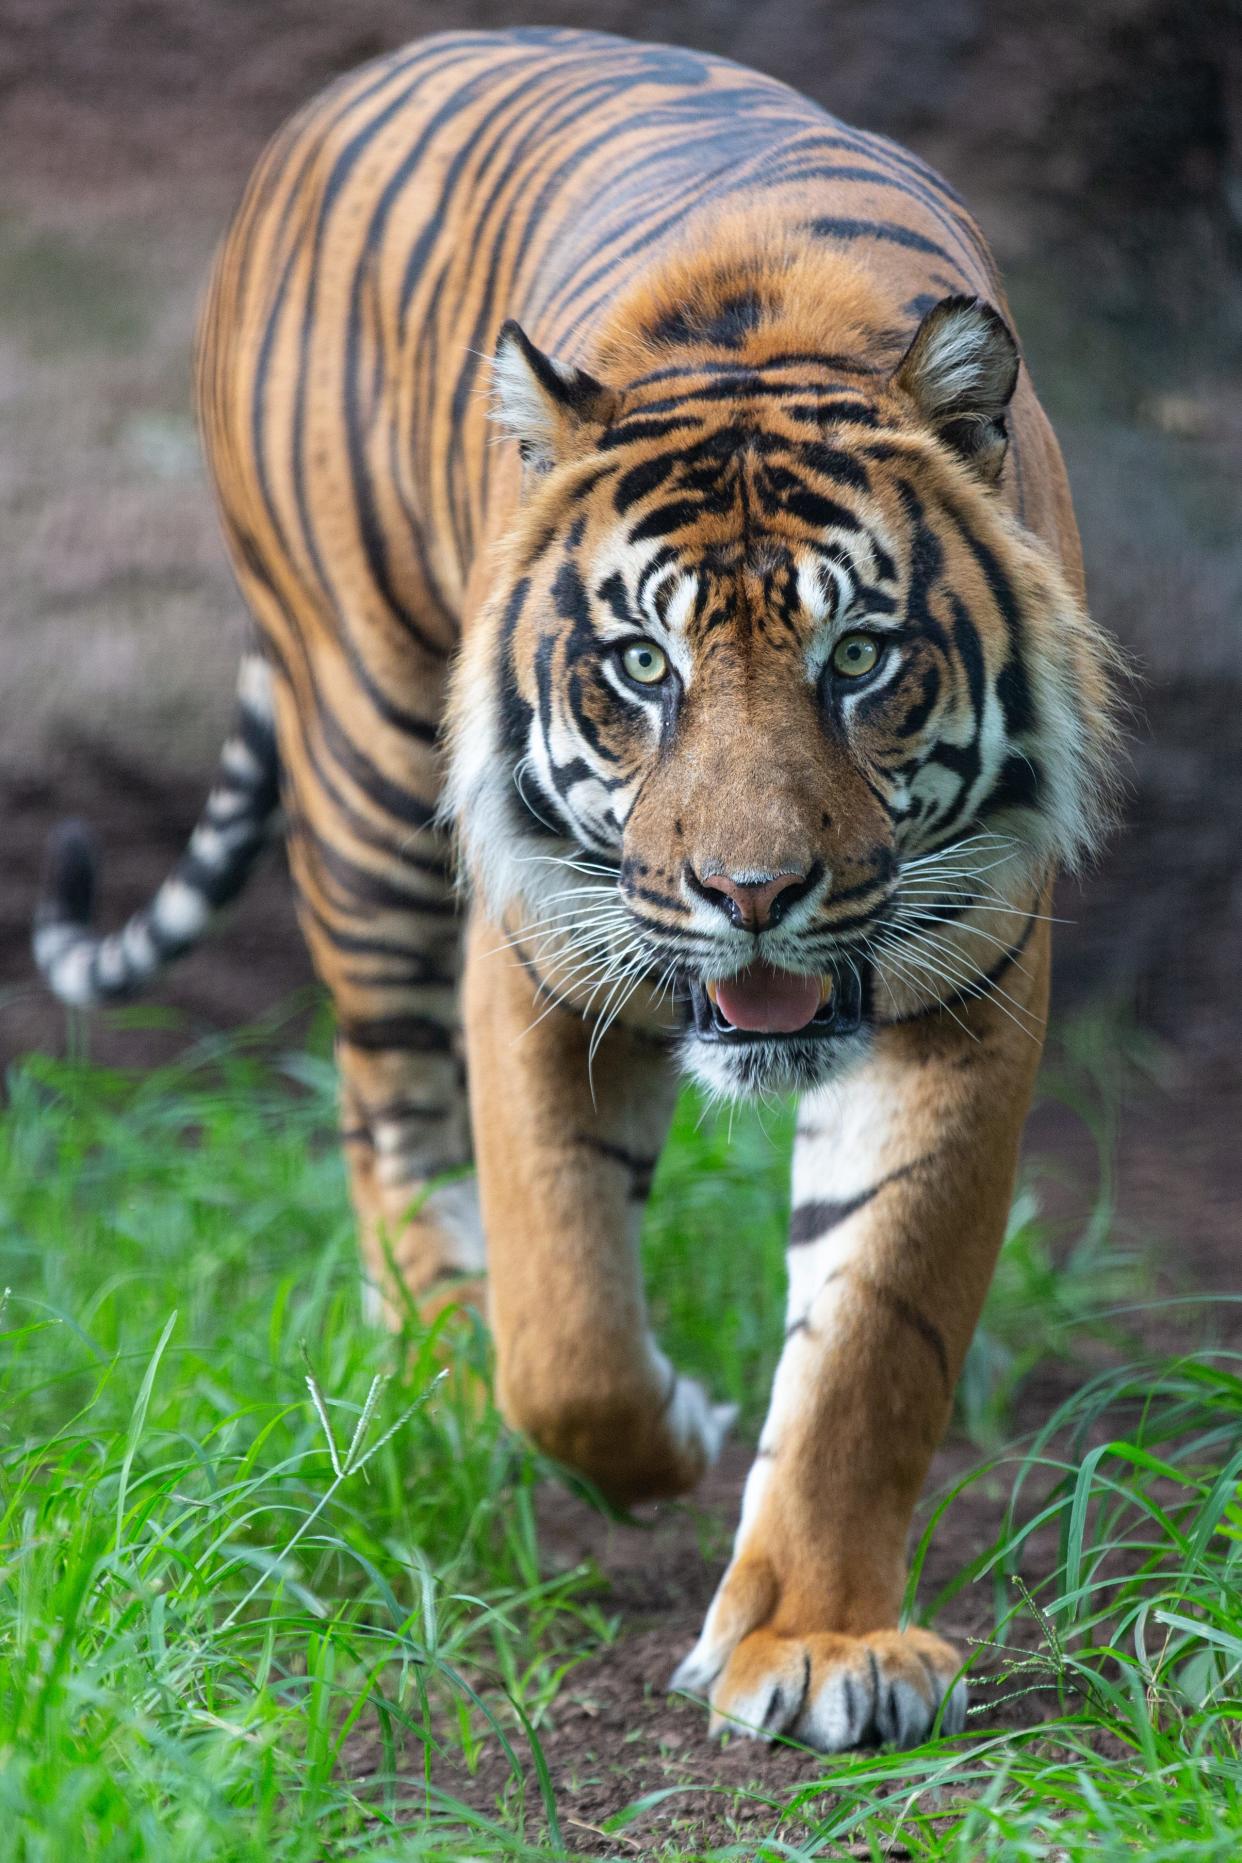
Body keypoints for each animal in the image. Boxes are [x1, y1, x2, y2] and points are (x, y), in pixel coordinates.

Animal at [36, 25, 1117, 1743]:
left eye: (857, 658)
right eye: (642, 666)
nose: (754, 890)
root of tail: (378, 67)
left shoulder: (968, 978)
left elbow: (871, 1336)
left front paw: (814, 1642)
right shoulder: (546, 941)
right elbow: (566, 1314)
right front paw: (661, 1430)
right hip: (362, 747)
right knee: (385, 1106)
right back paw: (437, 1363)